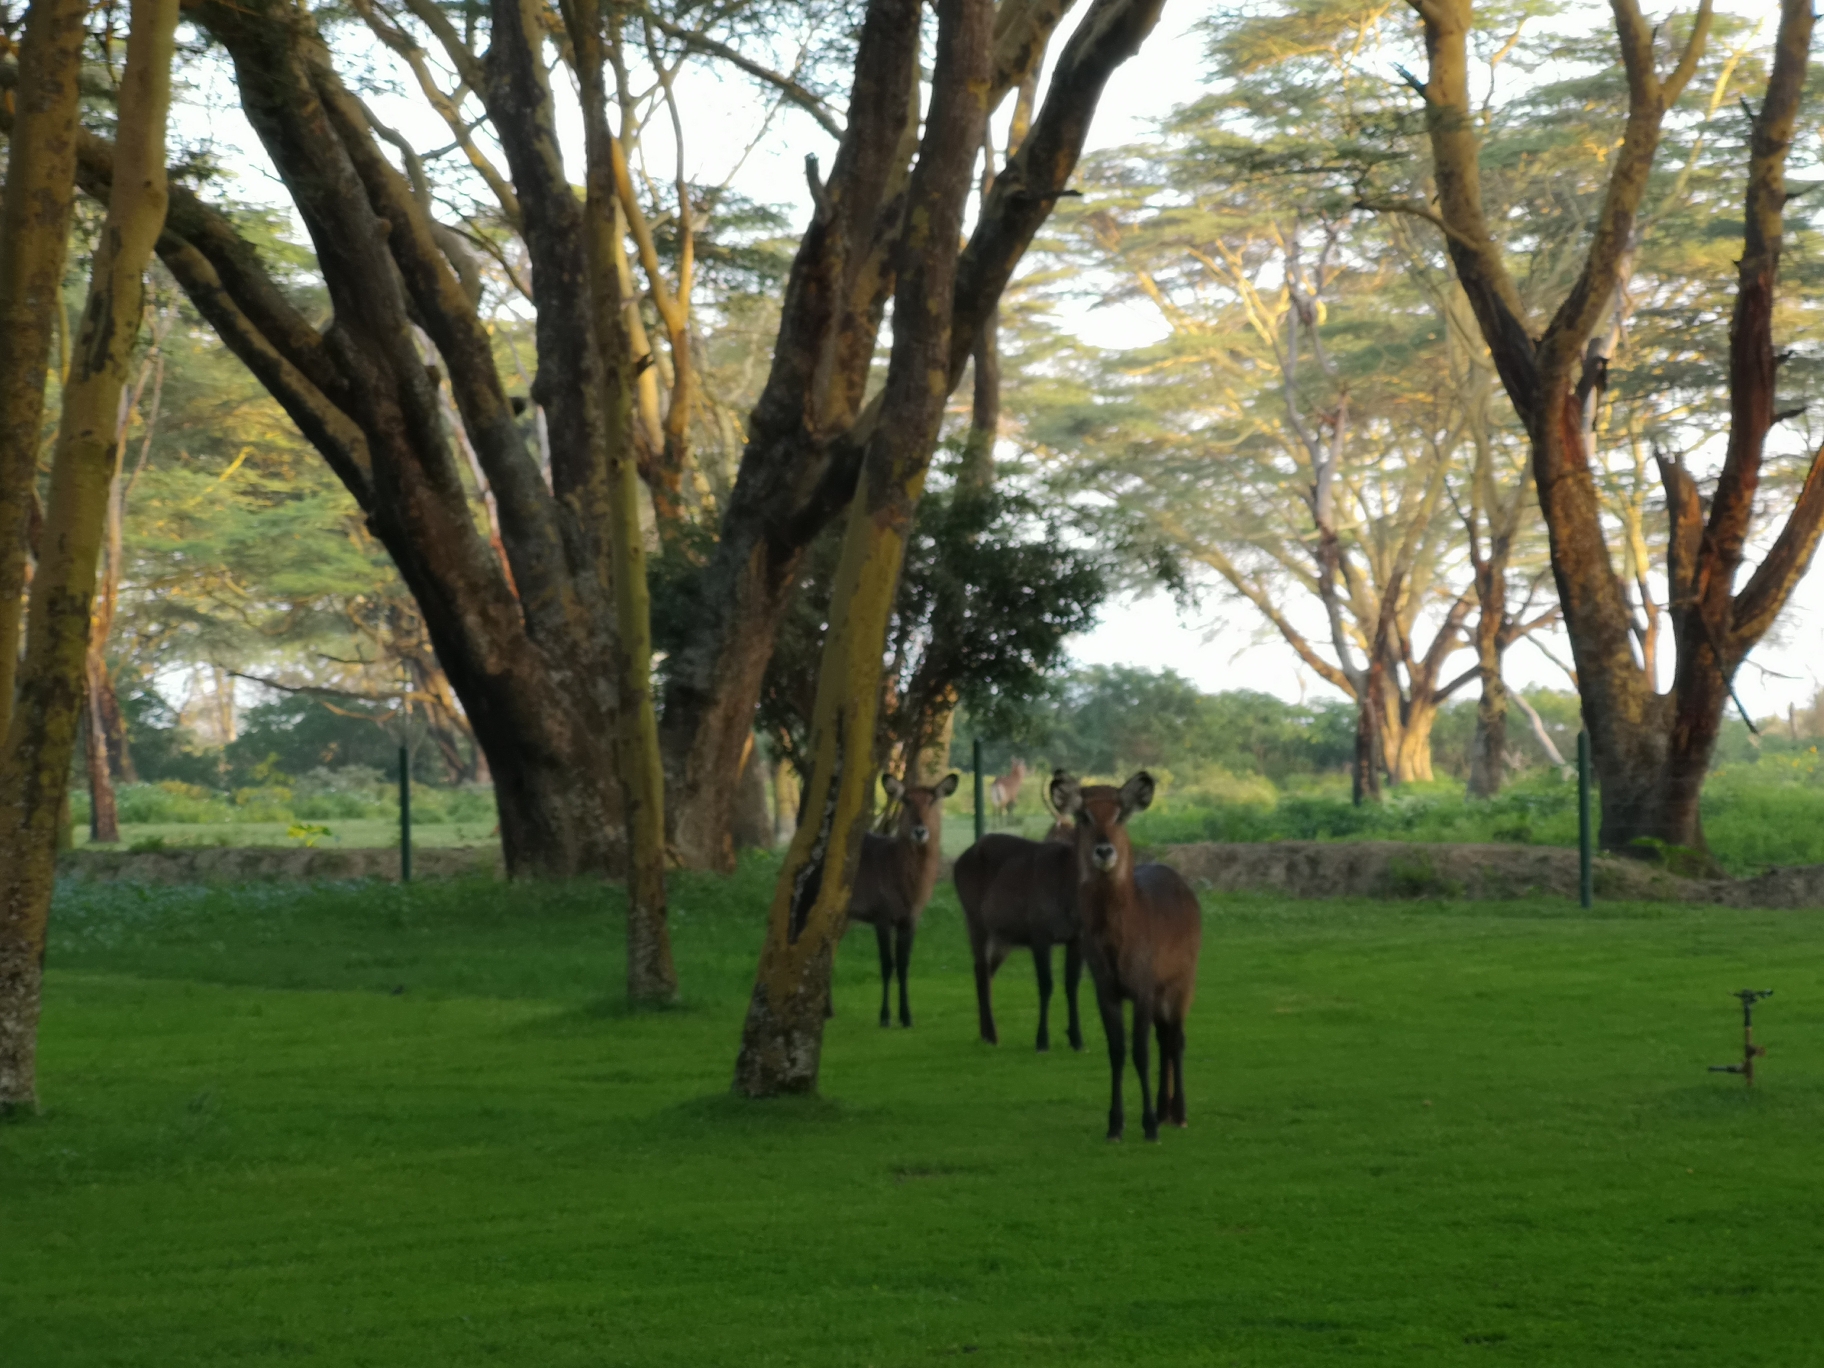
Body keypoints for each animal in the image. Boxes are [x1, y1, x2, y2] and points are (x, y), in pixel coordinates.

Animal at [842, 773, 963, 1028]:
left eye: (932, 800)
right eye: (906, 800)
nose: (920, 831)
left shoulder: (910, 920)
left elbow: (904, 965)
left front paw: (906, 1016)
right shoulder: (882, 918)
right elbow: (888, 965)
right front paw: (885, 1017)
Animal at [955, 820, 1079, 1057]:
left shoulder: (1078, 938)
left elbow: (1071, 984)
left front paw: (1076, 1038)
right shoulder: (1040, 932)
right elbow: (1046, 984)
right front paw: (1042, 1041)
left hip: (1004, 937)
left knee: (984, 971)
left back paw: (986, 1033)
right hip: (975, 919)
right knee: (982, 970)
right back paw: (992, 1036)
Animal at [1050, 773, 1203, 1145]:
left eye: (1120, 814)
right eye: (1084, 815)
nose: (1104, 851)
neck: (1118, 938)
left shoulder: (1143, 989)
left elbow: (1140, 1052)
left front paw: (1148, 1126)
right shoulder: (1107, 990)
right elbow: (1118, 1052)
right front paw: (1115, 1125)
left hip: (1181, 983)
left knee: (1176, 1039)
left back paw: (1178, 1114)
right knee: (1164, 1039)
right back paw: (1164, 1110)